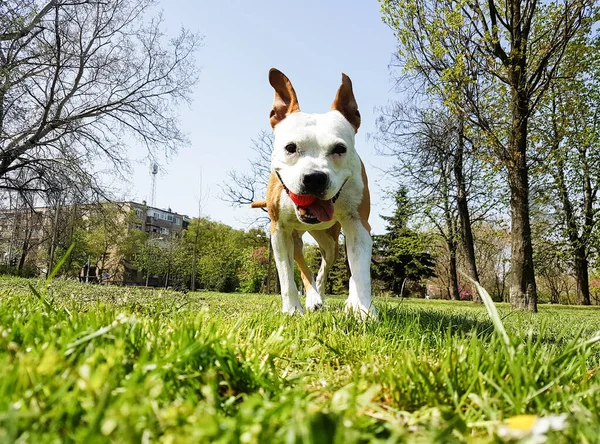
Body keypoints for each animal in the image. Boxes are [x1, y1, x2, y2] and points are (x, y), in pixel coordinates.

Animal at [250, 69, 376, 318]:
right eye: (290, 148)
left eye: (340, 149)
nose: (315, 177)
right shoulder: (279, 230)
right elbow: (286, 276)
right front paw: (292, 309)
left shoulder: (358, 225)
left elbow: (360, 272)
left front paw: (363, 310)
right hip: (296, 238)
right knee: (303, 268)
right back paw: (313, 298)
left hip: (330, 242)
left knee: (326, 268)